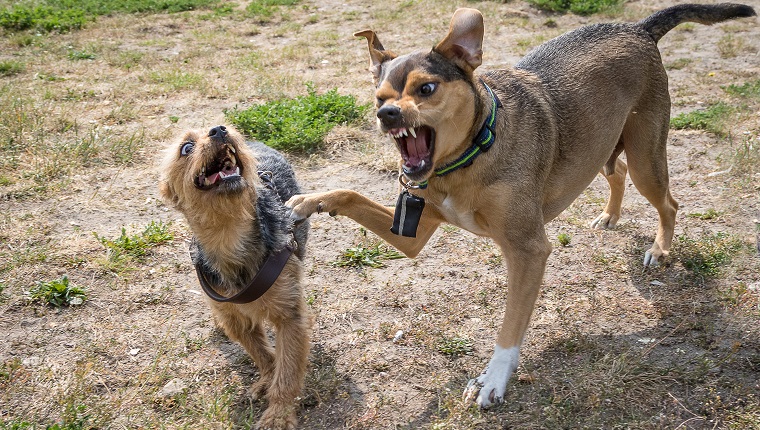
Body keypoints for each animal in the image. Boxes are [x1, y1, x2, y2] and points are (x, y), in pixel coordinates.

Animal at [160, 122, 312, 428]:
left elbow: (288, 370)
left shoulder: (290, 314)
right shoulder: (236, 319)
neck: (228, 234)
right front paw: (267, 378)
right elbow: (262, 354)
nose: (219, 130)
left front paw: (278, 415)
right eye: (186, 148)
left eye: (224, 128)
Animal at [286, 2, 756, 406]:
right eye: (379, 97)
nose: (387, 116)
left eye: (427, 88)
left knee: (669, 203)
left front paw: (493, 379)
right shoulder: (414, 232)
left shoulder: (528, 250)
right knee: (616, 172)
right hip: (604, 147)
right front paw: (310, 200)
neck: (468, 156)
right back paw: (609, 216)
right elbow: (350, 194)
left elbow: (510, 328)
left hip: (646, 158)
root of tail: (638, 28)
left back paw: (660, 250)